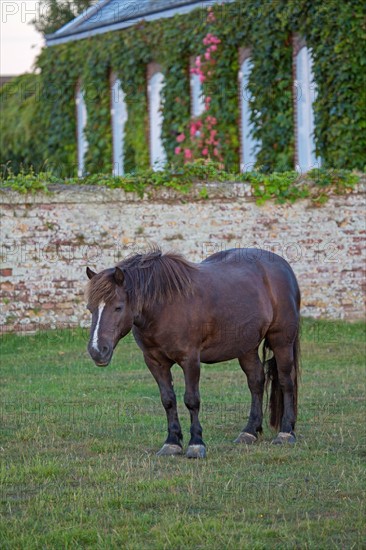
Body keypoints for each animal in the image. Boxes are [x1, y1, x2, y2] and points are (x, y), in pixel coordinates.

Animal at [86, 248, 300, 460]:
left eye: (118, 307)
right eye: (90, 308)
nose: (97, 350)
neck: (164, 306)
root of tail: (282, 266)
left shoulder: (190, 360)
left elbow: (191, 400)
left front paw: (196, 444)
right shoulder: (155, 362)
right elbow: (168, 400)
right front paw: (172, 442)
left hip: (281, 341)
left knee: (286, 381)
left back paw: (286, 432)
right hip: (246, 347)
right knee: (256, 382)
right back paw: (249, 432)